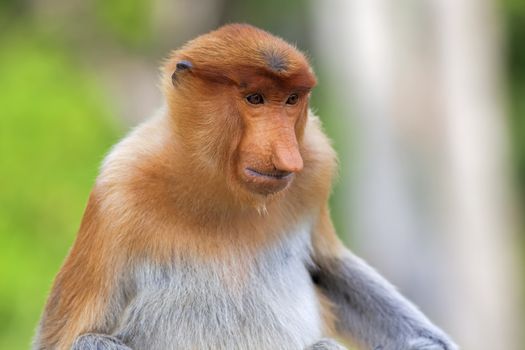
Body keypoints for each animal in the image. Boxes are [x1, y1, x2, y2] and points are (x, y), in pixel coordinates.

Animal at [33, 23, 458, 348]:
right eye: (255, 98)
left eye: (291, 100)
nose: (288, 158)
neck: (219, 189)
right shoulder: (116, 194)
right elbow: (68, 337)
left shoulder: (314, 163)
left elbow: (331, 268)